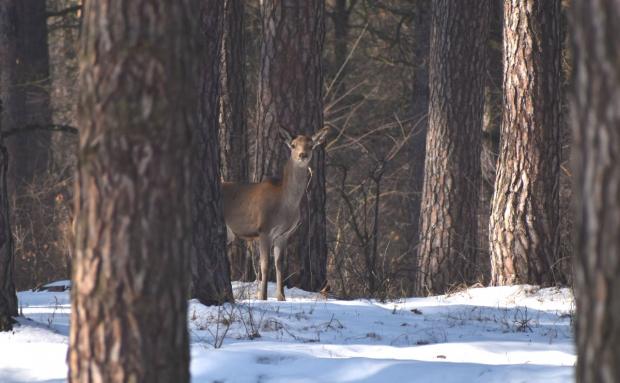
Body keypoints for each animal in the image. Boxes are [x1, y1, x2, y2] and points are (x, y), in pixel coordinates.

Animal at [222, 127, 330, 302]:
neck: (285, 206)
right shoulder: (263, 229)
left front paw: (281, 297)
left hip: (229, 234)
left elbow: (280, 265)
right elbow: (265, 265)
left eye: (311, 145)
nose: (302, 155)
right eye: (293, 145)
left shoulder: (284, 234)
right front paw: (263, 296)